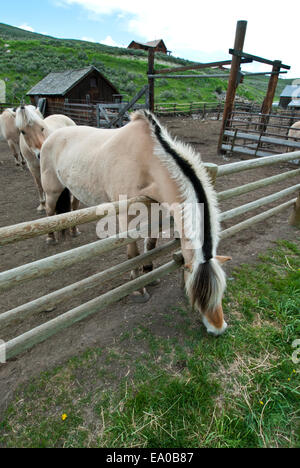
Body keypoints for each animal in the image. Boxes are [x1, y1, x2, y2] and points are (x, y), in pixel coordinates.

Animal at [39, 109, 231, 336]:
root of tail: (53, 135)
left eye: (221, 290)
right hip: (52, 189)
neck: (146, 162)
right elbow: (134, 254)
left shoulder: (155, 211)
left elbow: (150, 246)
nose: (218, 328)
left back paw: (73, 231)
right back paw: (50, 238)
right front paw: (139, 289)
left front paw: (151, 275)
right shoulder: (125, 218)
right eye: (199, 293)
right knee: (49, 211)